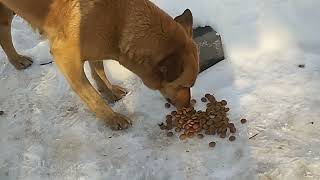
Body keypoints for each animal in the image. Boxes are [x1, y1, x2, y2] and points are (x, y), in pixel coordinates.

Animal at [1, 0, 199, 129]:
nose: (189, 109)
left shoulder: (96, 48)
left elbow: (99, 71)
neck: (120, 22)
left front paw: (109, 91)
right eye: (185, 85)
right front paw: (112, 118)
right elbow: (91, 94)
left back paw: (16, 60)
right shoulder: (65, 56)